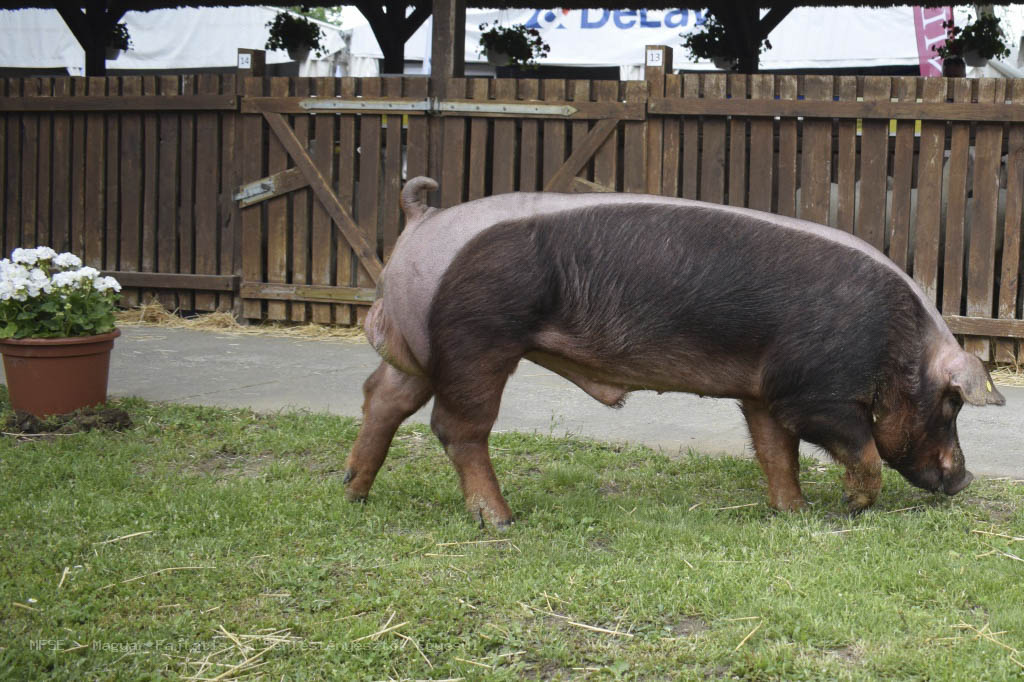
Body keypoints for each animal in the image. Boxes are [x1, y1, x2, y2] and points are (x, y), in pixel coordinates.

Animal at [346, 176, 1007, 524]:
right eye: (952, 404)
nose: (967, 478)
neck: (897, 341)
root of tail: (422, 218)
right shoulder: (811, 389)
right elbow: (858, 447)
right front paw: (851, 508)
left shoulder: (762, 392)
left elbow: (776, 452)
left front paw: (792, 512)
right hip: (476, 339)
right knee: (457, 426)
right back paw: (499, 519)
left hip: (422, 348)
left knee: (382, 397)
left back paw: (353, 493)